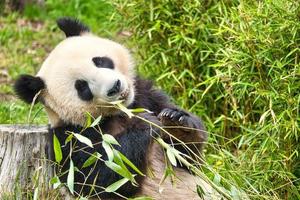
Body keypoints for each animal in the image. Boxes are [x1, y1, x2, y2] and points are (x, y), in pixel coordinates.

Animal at [13, 18, 211, 199]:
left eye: (100, 61)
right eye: (82, 87)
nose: (115, 87)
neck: (118, 114)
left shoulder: (145, 97)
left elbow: (188, 159)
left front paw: (177, 123)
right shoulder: (68, 139)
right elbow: (100, 177)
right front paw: (144, 124)